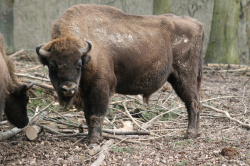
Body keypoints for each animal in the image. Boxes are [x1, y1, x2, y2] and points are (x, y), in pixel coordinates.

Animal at [36, 4, 204, 143]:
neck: (87, 54)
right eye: (52, 65)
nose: (68, 89)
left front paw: (94, 140)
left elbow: (96, 115)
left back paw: (190, 134)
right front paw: (91, 137)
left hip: (185, 75)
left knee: (192, 102)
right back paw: (194, 133)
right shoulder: (85, 92)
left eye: (78, 64)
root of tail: (197, 24)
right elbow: (88, 115)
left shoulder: (100, 88)